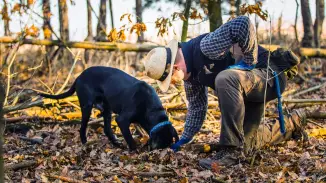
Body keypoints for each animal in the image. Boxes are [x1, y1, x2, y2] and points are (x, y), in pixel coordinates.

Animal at [40, 66, 181, 150]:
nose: (153, 150)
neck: (151, 110)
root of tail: (79, 77)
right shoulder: (122, 120)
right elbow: (130, 138)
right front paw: (135, 150)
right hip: (87, 106)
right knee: (82, 127)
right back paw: (85, 142)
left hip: (106, 109)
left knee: (107, 129)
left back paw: (116, 144)